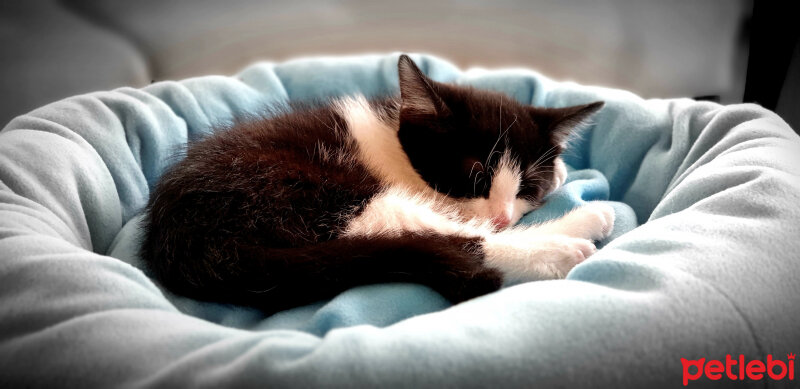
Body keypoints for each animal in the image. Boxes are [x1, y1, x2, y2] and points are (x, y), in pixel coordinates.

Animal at [139, 54, 612, 312]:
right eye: (474, 174)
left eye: (527, 187)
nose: (501, 216)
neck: (397, 149)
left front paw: (561, 172)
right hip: (303, 192)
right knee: (444, 238)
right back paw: (570, 237)